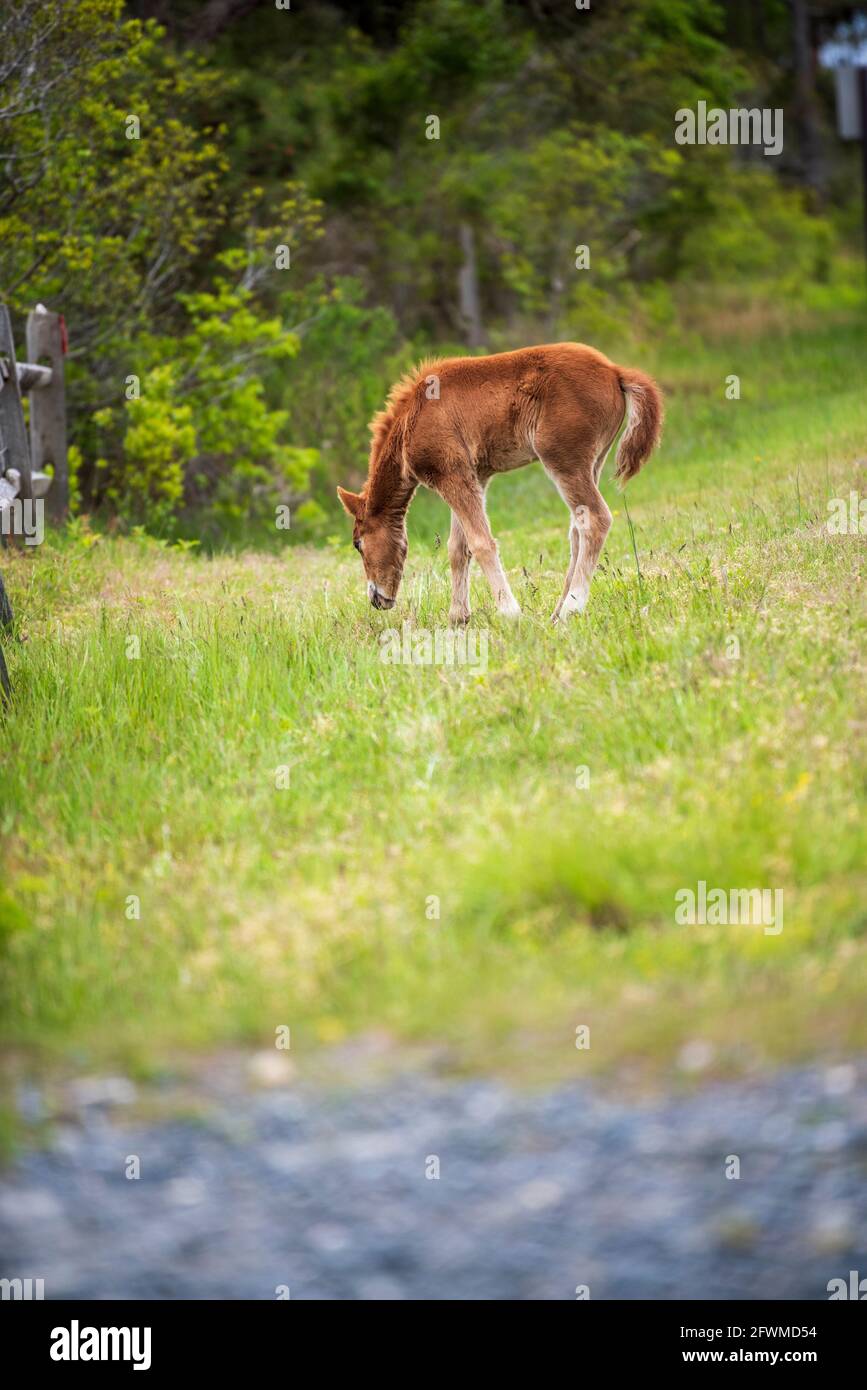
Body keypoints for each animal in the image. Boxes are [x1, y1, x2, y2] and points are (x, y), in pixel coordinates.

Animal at [339, 339, 664, 622]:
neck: (414, 417)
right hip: (592, 462)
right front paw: (458, 618)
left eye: (357, 544)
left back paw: (571, 610)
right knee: (577, 528)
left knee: (596, 519)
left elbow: (481, 543)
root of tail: (614, 370)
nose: (376, 598)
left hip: (563, 459)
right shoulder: (475, 476)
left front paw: (510, 613)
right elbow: (458, 548)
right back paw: (556, 614)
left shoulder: (451, 473)